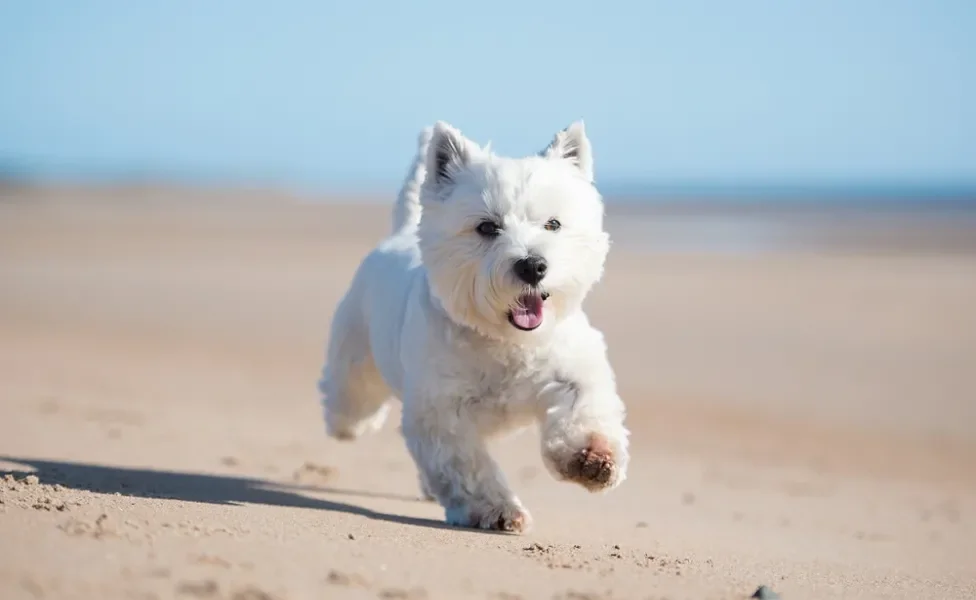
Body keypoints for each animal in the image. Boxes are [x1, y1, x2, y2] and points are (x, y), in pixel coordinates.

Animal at [316, 119, 628, 532]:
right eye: (487, 227)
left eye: (553, 223)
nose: (533, 266)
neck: (503, 338)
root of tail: (399, 234)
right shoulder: (441, 412)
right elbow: (468, 468)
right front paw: (498, 509)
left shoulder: (572, 372)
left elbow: (586, 409)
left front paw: (592, 458)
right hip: (356, 359)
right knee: (349, 396)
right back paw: (345, 424)